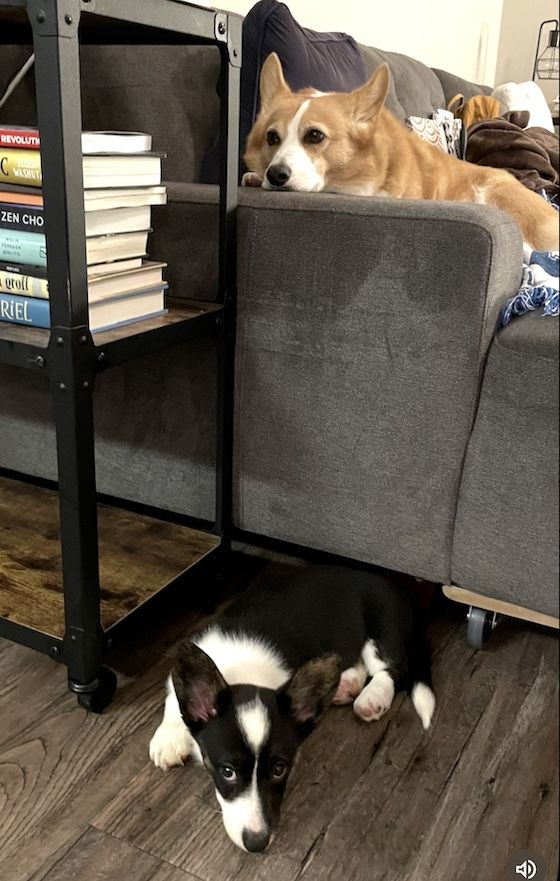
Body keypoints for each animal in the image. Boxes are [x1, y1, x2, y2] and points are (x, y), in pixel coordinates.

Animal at [148, 568, 434, 848]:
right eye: (227, 772)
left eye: (279, 770)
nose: (257, 843)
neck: (244, 672)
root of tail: (398, 588)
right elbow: (173, 701)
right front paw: (168, 740)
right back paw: (346, 685)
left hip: (384, 628)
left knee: (393, 670)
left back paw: (372, 697)